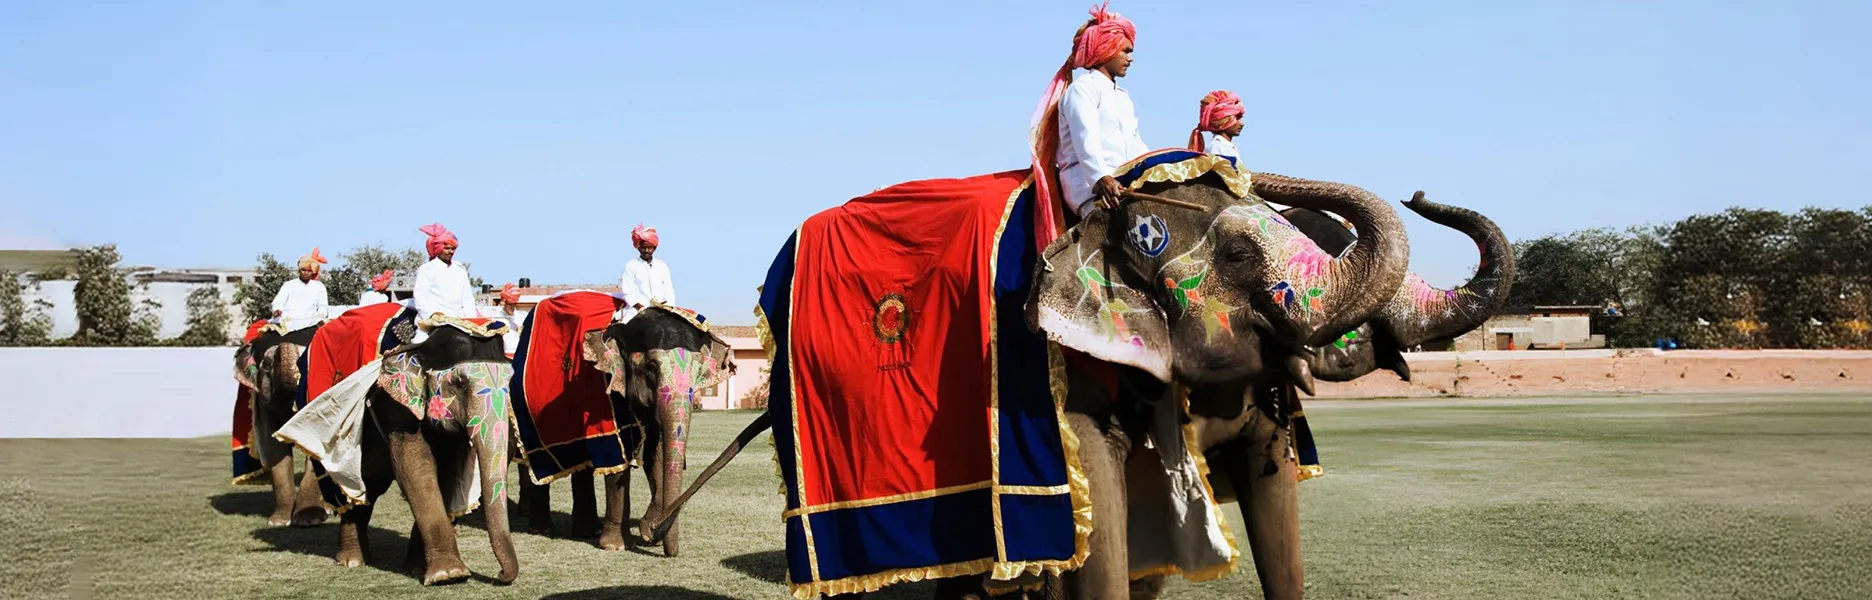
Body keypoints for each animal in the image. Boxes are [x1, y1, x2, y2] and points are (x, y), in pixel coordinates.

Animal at [331, 325, 520, 585]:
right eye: (460, 383)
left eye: (510, 382)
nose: (501, 574)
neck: (420, 350)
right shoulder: (398, 409)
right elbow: (416, 468)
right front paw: (449, 575)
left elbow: (448, 476)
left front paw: (418, 569)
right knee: (358, 488)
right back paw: (351, 561)